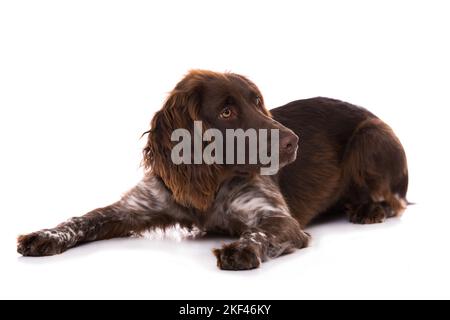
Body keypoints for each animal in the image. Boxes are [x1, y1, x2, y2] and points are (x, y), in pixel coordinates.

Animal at [16, 70, 408, 270]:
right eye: (226, 111)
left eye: (258, 102)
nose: (293, 142)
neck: (213, 182)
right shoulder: (133, 208)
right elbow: (83, 219)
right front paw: (45, 235)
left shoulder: (277, 218)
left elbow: (258, 233)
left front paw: (242, 249)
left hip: (369, 137)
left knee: (395, 200)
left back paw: (369, 208)